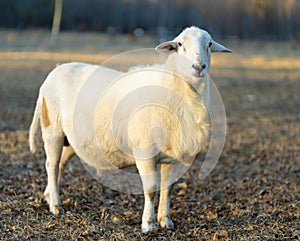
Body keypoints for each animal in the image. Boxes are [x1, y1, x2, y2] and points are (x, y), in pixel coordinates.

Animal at [29, 26, 231, 233]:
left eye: (209, 44)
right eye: (180, 44)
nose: (198, 67)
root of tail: (56, 70)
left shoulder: (174, 156)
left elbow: (168, 189)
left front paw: (165, 221)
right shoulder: (145, 152)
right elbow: (150, 189)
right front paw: (148, 224)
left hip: (71, 140)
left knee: (59, 165)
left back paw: (49, 196)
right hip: (52, 130)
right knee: (51, 165)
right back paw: (55, 206)